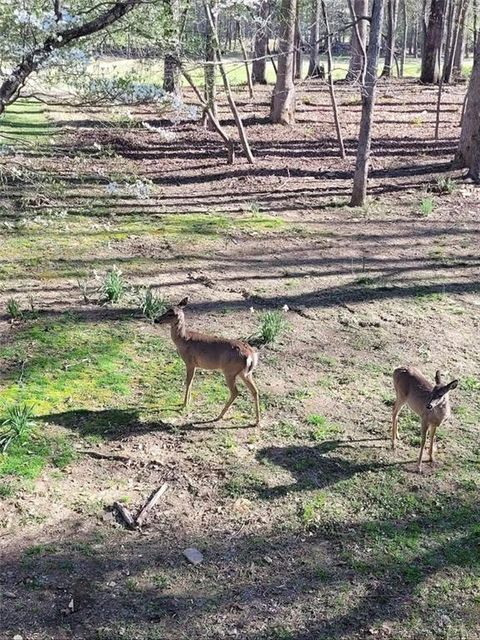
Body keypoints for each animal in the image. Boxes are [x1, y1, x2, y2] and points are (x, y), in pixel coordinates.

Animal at [155, 298, 258, 428]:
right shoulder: (194, 365)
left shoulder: (190, 362)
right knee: (255, 390)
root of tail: (250, 355)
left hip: (229, 371)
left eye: (171, 314)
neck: (183, 340)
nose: (156, 320)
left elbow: (188, 382)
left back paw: (219, 416)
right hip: (245, 373)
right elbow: (191, 382)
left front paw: (184, 404)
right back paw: (257, 421)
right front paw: (188, 402)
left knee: (235, 392)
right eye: (166, 309)